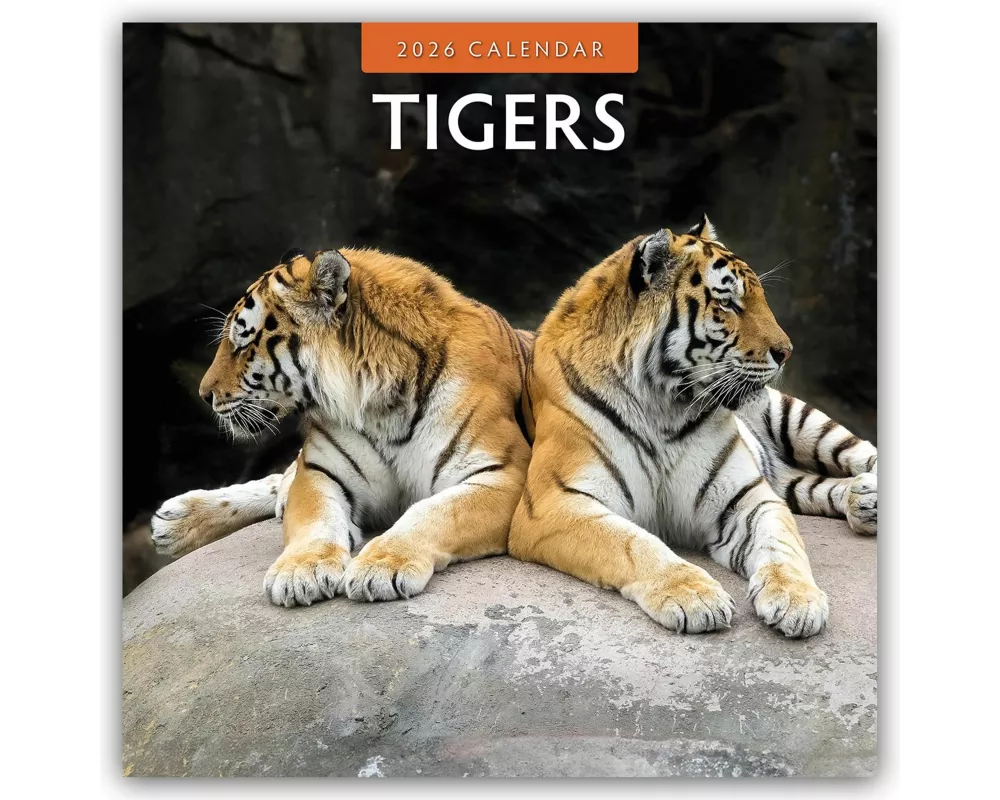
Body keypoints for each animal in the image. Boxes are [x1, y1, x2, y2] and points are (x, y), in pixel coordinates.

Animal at [151, 247, 533, 607]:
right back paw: (176, 519)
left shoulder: (504, 474)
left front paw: (380, 566)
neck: (381, 402)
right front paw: (300, 572)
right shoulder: (320, 470)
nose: (204, 395)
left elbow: (433, 512)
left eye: (242, 343)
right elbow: (316, 519)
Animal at [508, 216, 877, 638]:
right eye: (727, 302)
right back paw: (861, 501)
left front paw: (797, 599)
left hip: (800, 419)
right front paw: (696, 597)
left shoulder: (747, 497)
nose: (786, 353)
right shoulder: (554, 502)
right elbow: (631, 544)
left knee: (863, 456)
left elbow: (781, 544)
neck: (663, 407)